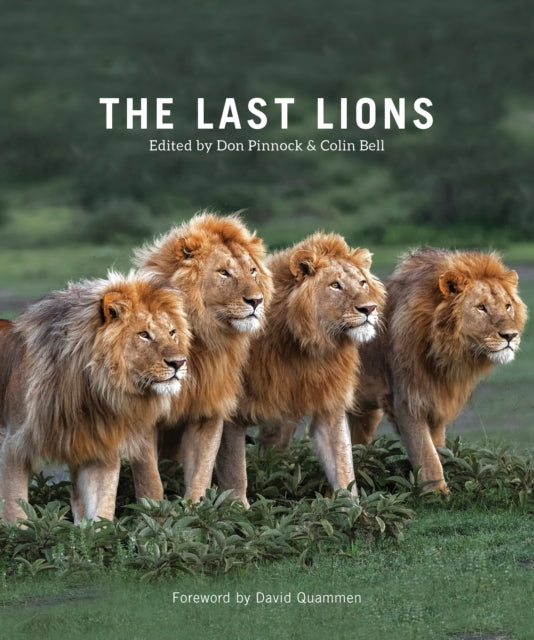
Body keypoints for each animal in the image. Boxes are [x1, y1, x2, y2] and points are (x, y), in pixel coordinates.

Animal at [0, 272, 190, 523]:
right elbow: (16, 514)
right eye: (144, 335)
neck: (91, 393)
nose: (179, 363)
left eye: (172, 333)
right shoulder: (14, 446)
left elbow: (101, 511)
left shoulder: (99, 448)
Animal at [129, 212, 273, 503]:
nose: (257, 301)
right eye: (224, 272)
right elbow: (149, 479)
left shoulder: (207, 409)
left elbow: (202, 472)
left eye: (252, 271)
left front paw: (194, 509)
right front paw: (153, 512)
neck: (201, 338)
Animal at [215, 232, 386, 506]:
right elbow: (233, 467)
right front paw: (237, 506)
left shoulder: (329, 403)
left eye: (362, 283)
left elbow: (342, 462)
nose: (369, 309)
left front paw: (352, 508)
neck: (306, 347)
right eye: (335, 285)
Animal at [348, 248, 528, 492]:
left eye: (508, 306)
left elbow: (438, 448)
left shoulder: (437, 398)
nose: (511, 336)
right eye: (481, 307)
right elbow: (426, 454)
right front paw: (438, 494)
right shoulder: (406, 399)